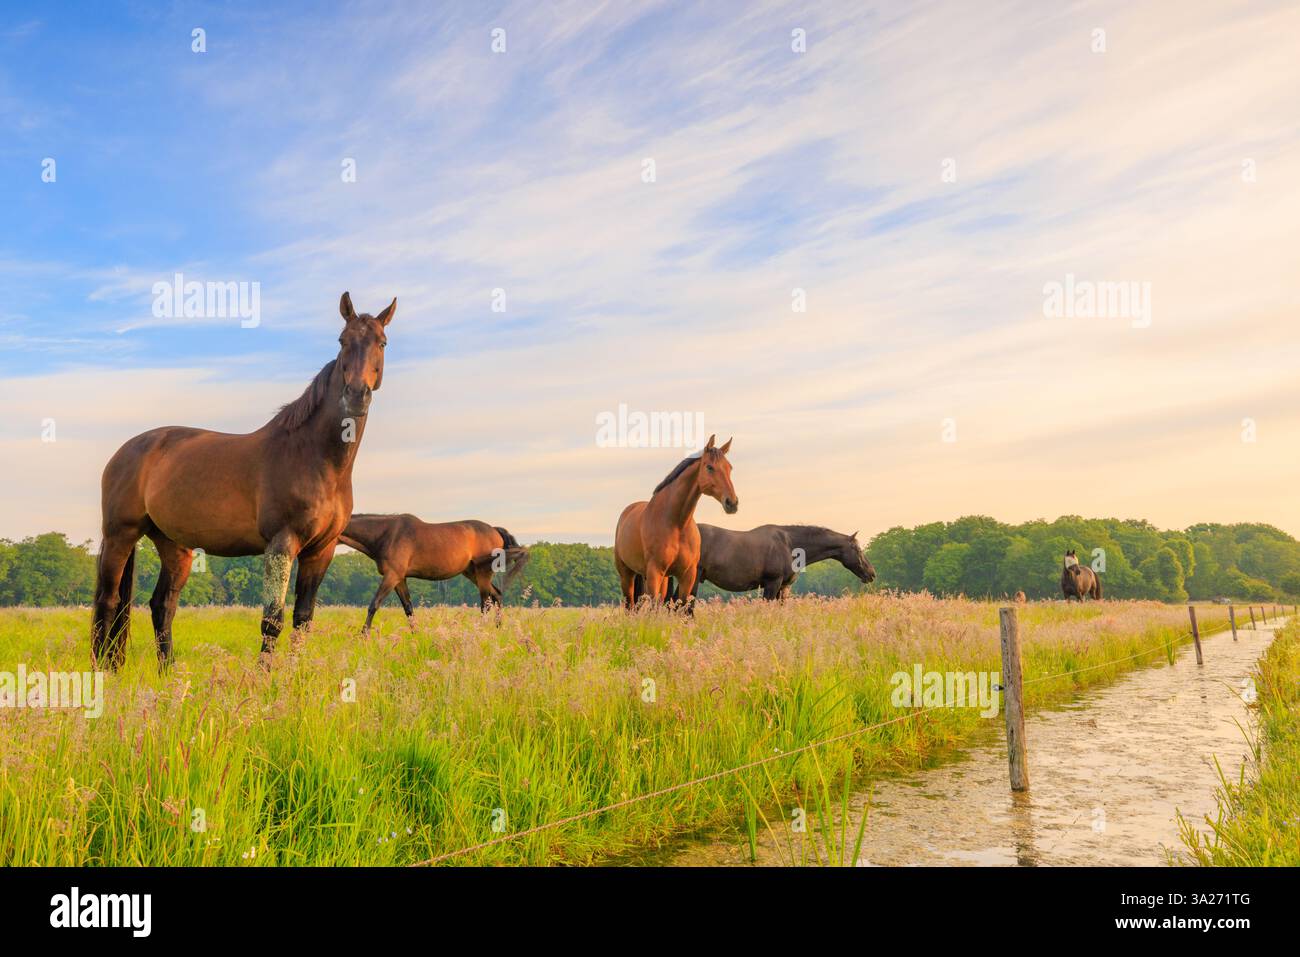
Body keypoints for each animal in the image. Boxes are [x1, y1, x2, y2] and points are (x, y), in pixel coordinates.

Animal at [91, 292, 396, 669]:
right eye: (342, 341)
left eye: (381, 342)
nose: (356, 395)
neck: (314, 457)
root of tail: (126, 450)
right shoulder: (282, 544)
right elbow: (272, 619)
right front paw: (264, 679)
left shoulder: (321, 551)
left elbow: (303, 620)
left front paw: (293, 676)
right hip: (120, 535)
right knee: (107, 602)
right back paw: (102, 671)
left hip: (174, 546)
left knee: (162, 606)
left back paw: (168, 673)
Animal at [340, 514, 529, 630]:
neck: (387, 535)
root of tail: (495, 529)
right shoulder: (400, 579)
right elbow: (408, 609)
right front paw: (416, 635)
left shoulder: (392, 576)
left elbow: (374, 604)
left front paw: (364, 636)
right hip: (471, 573)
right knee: (496, 595)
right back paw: (498, 628)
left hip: (483, 573)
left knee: (486, 603)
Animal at [613, 434, 737, 613]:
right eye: (709, 467)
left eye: (729, 468)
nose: (732, 503)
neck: (676, 524)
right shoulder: (654, 572)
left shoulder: (687, 575)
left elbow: (682, 606)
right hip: (627, 575)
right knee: (630, 606)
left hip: (661, 578)